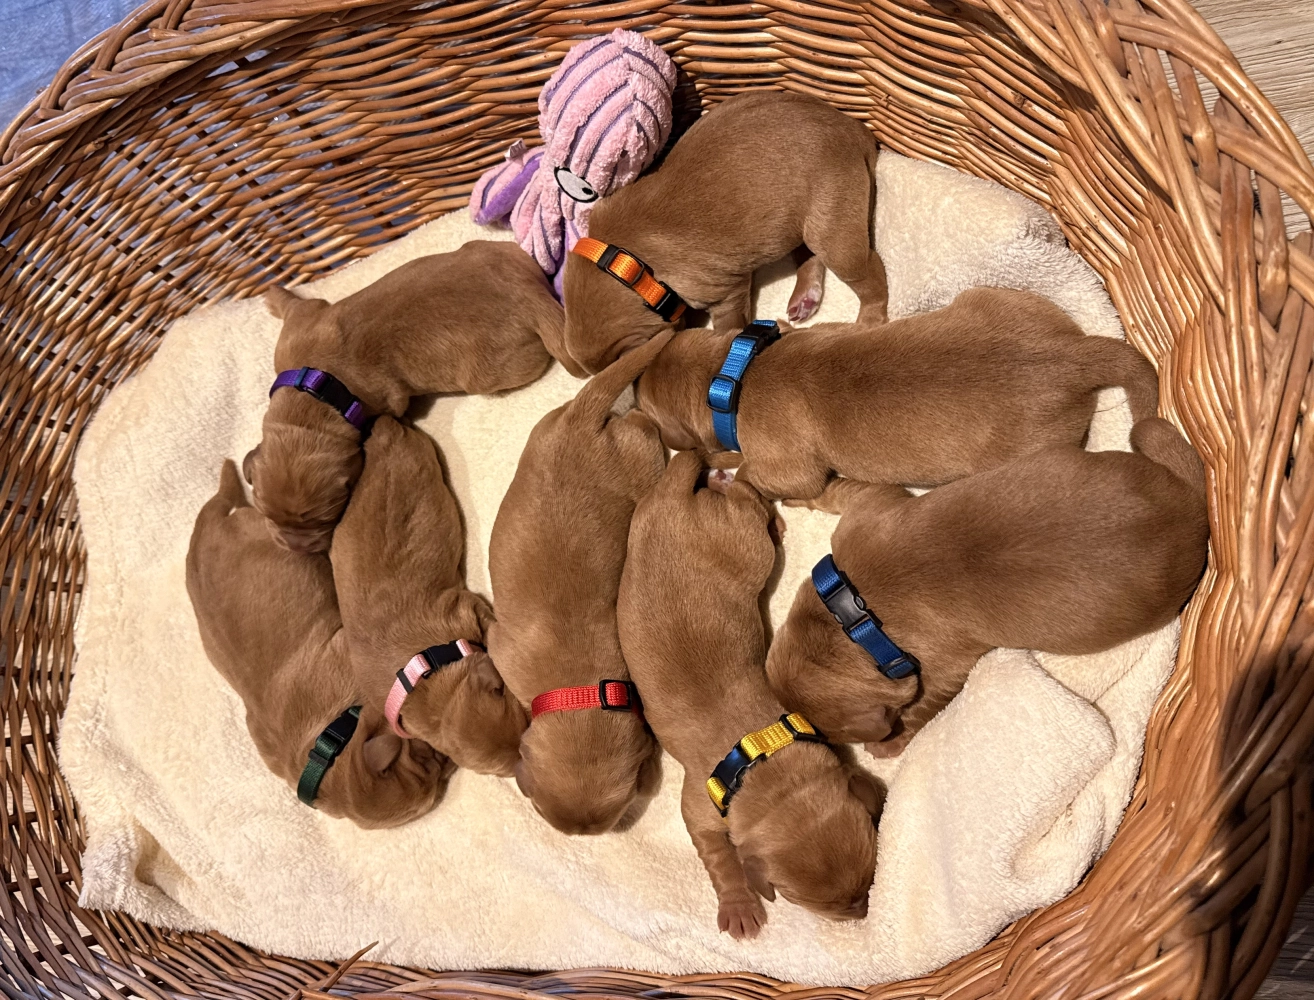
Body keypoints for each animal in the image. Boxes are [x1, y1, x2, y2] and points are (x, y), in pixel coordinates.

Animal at [246, 240, 577, 554]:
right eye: (263, 510)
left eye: (328, 517)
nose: (297, 549)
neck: (313, 390)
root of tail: (530, 294)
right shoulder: (299, 325)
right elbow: (295, 304)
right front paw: (273, 293)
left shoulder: (384, 400)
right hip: (492, 250)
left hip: (495, 371)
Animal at [561, 91, 888, 373]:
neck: (624, 263)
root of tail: (854, 128)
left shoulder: (727, 293)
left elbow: (728, 324)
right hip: (801, 222)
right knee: (808, 254)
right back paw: (805, 297)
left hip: (834, 228)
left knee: (870, 273)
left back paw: (870, 320)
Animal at [617, 451, 882, 938]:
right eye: (804, 902)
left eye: (869, 878)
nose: (861, 916)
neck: (764, 758)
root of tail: (671, 497)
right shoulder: (698, 811)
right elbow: (721, 858)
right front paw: (739, 904)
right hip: (743, 542)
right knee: (742, 494)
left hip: (731, 535)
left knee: (741, 491)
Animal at [636, 287, 1160, 499]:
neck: (735, 372)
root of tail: (1073, 356)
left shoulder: (792, 472)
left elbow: (752, 472)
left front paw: (724, 473)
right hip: (996, 297)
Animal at [766, 417, 1210, 755]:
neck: (853, 615)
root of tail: (1191, 508)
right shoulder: (869, 507)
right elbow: (840, 491)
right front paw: (802, 498)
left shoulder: (945, 667)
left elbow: (923, 705)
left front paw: (891, 742)